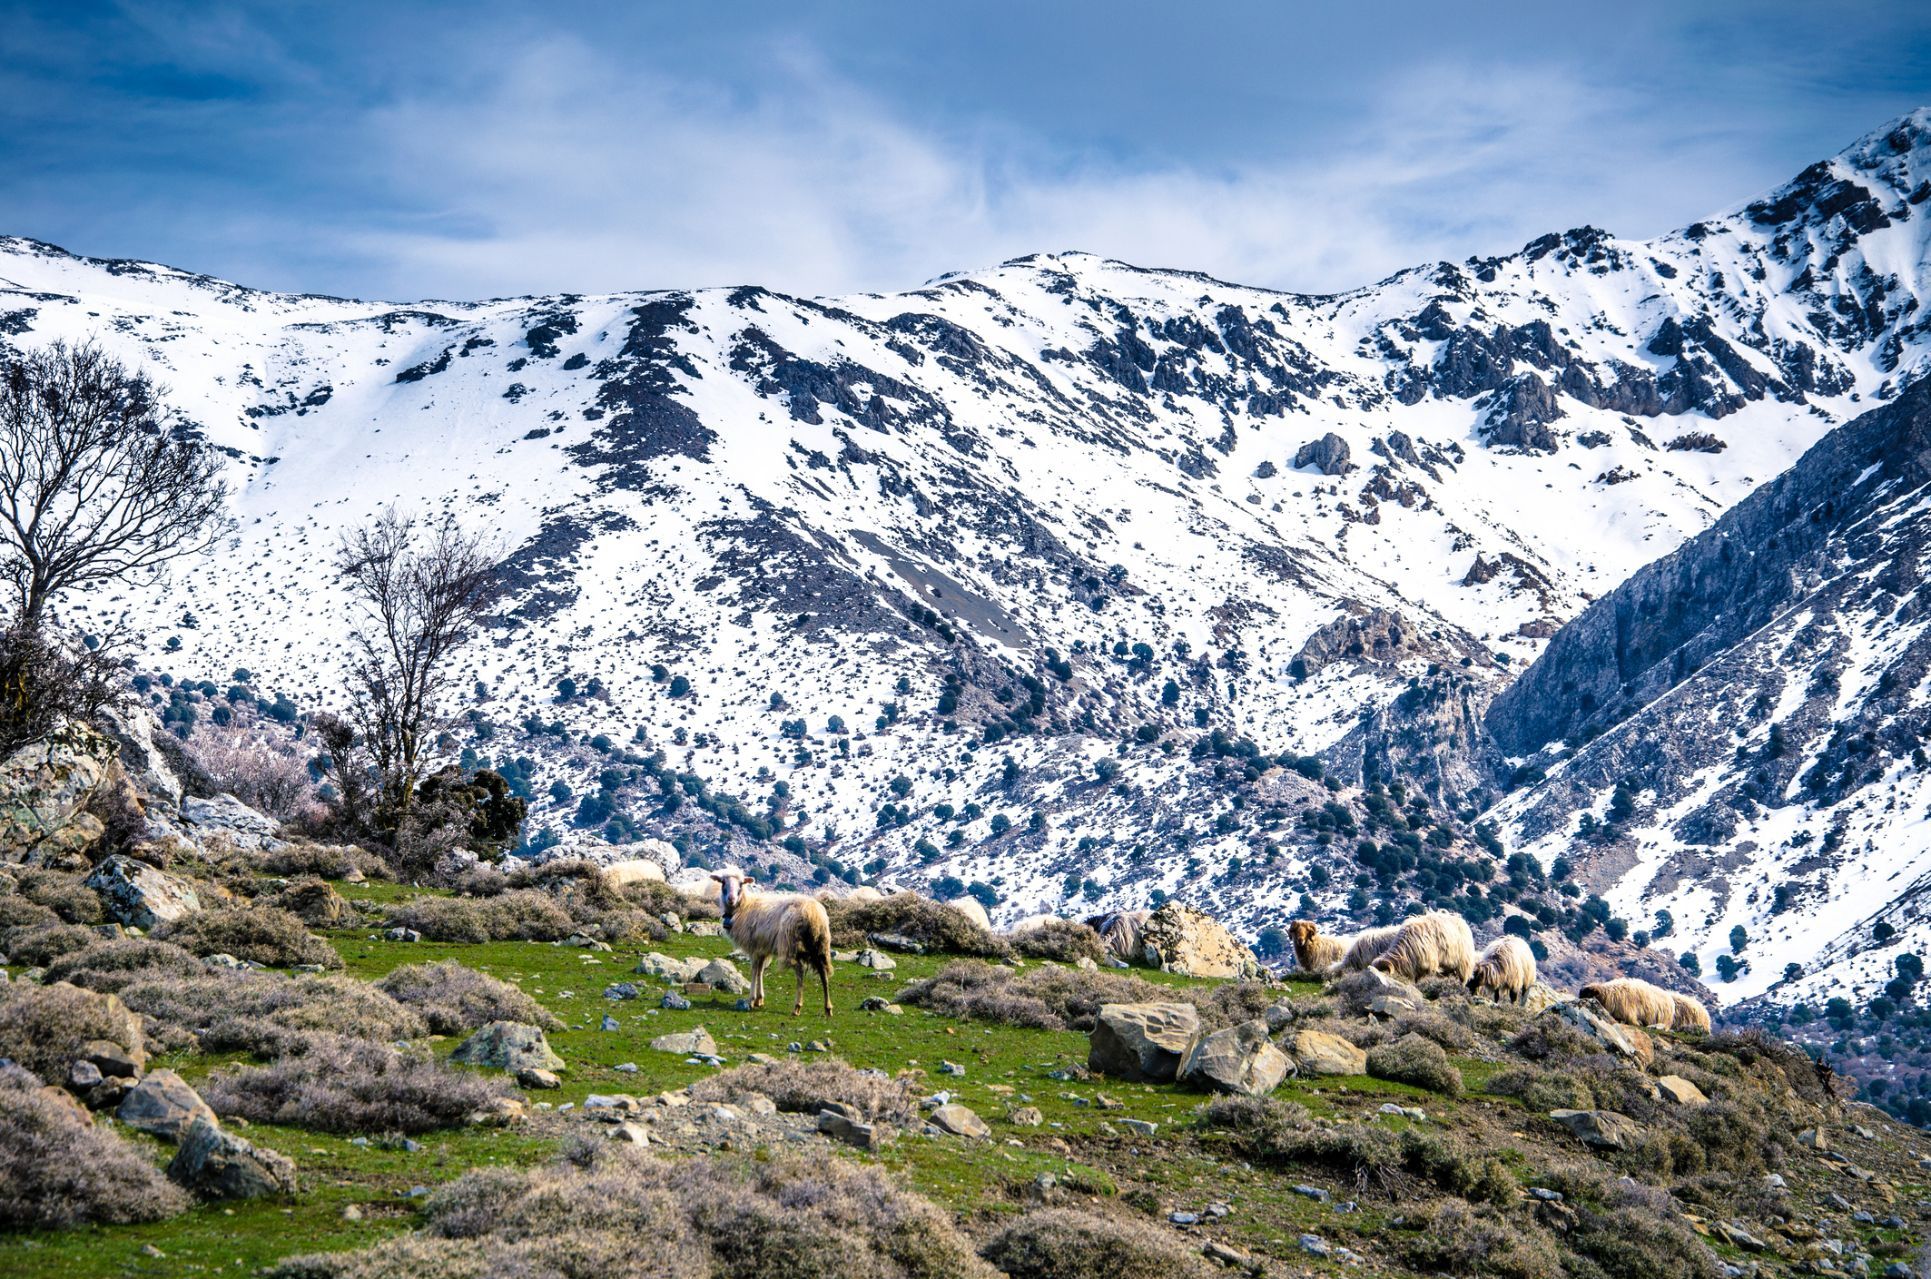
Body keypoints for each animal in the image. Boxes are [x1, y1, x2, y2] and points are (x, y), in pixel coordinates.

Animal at [710, 877, 830, 1020]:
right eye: (723, 882)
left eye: (741, 884)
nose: (731, 899)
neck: (743, 907)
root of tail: (813, 914)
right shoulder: (762, 949)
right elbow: (760, 971)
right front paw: (759, 1000)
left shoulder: (754, 948)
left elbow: (754, 970)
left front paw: (751, 999)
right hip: (820, 945)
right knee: (823, 973)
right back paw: (828, 1008)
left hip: (790, 945)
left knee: (800, 971)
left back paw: (797, 1006)